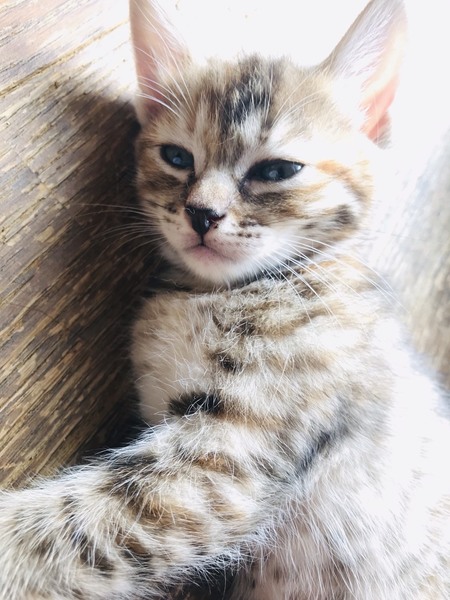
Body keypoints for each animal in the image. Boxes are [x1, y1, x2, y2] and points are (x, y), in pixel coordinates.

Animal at [1, 0, 449, 598]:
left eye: (277, 170)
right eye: (176, 157)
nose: (202, 214)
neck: (217, 293)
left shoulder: (223, 460)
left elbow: (70, 526)